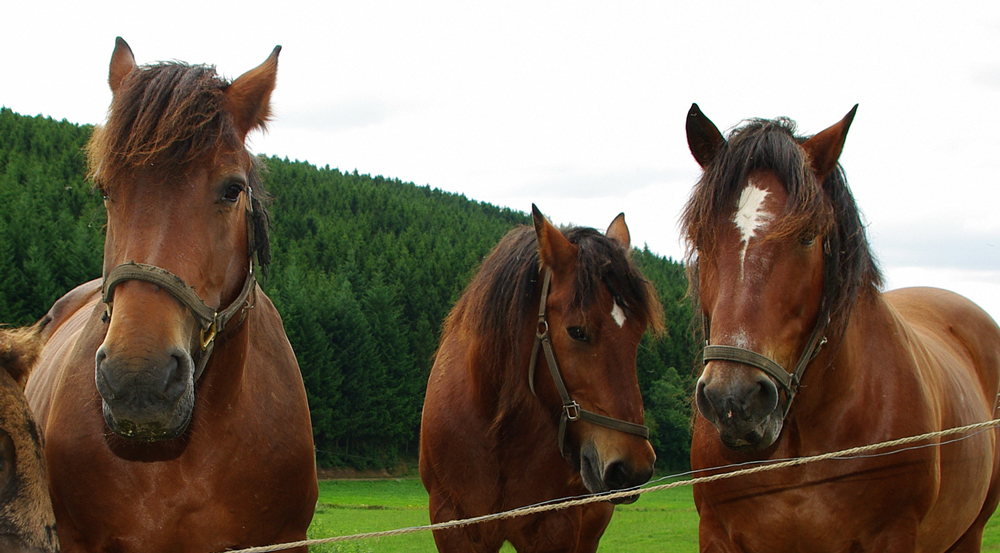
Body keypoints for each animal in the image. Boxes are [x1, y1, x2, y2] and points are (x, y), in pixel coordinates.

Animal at [420, 205, 664, 552]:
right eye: (576, 331)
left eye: (638, 333)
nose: (632, 467)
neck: (493, 425)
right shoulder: (453, 522)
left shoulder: (556, 524)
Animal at [682, 103, 1000, 552]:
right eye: (701, 236)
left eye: (808, 236)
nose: (734, 399)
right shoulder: (716, 536)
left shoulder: (894, 536)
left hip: (969, 533)